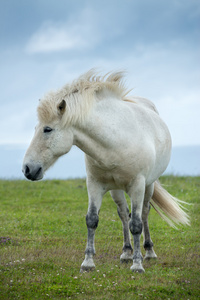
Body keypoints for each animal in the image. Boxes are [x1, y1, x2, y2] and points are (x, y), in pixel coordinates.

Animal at [21, 71, 189, 274]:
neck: (115, 141)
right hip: (116, 190)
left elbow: (136, 224)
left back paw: (149, 252)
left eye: (47, 129)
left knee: (144, 214)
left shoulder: (138, 186)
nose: (28, 169)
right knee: (124, 214)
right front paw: (88, 263)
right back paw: (126, 253)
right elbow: (92, 220)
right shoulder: (94, 185)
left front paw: (137, 265)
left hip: (148, 186)